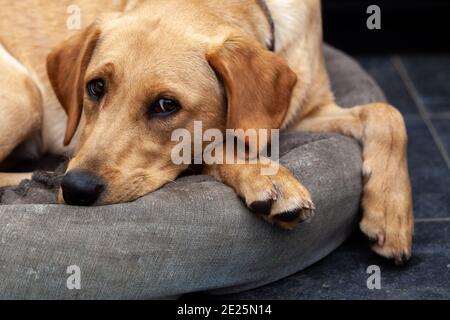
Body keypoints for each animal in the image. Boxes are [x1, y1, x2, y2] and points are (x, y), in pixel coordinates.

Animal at [0, 0, 414, 264]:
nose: (76, 189)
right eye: (96, 87)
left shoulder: (307, 111)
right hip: (24, 92)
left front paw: (391, 214)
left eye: (166, 105)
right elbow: (215, 144)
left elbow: (388, 113)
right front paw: (266, 177)